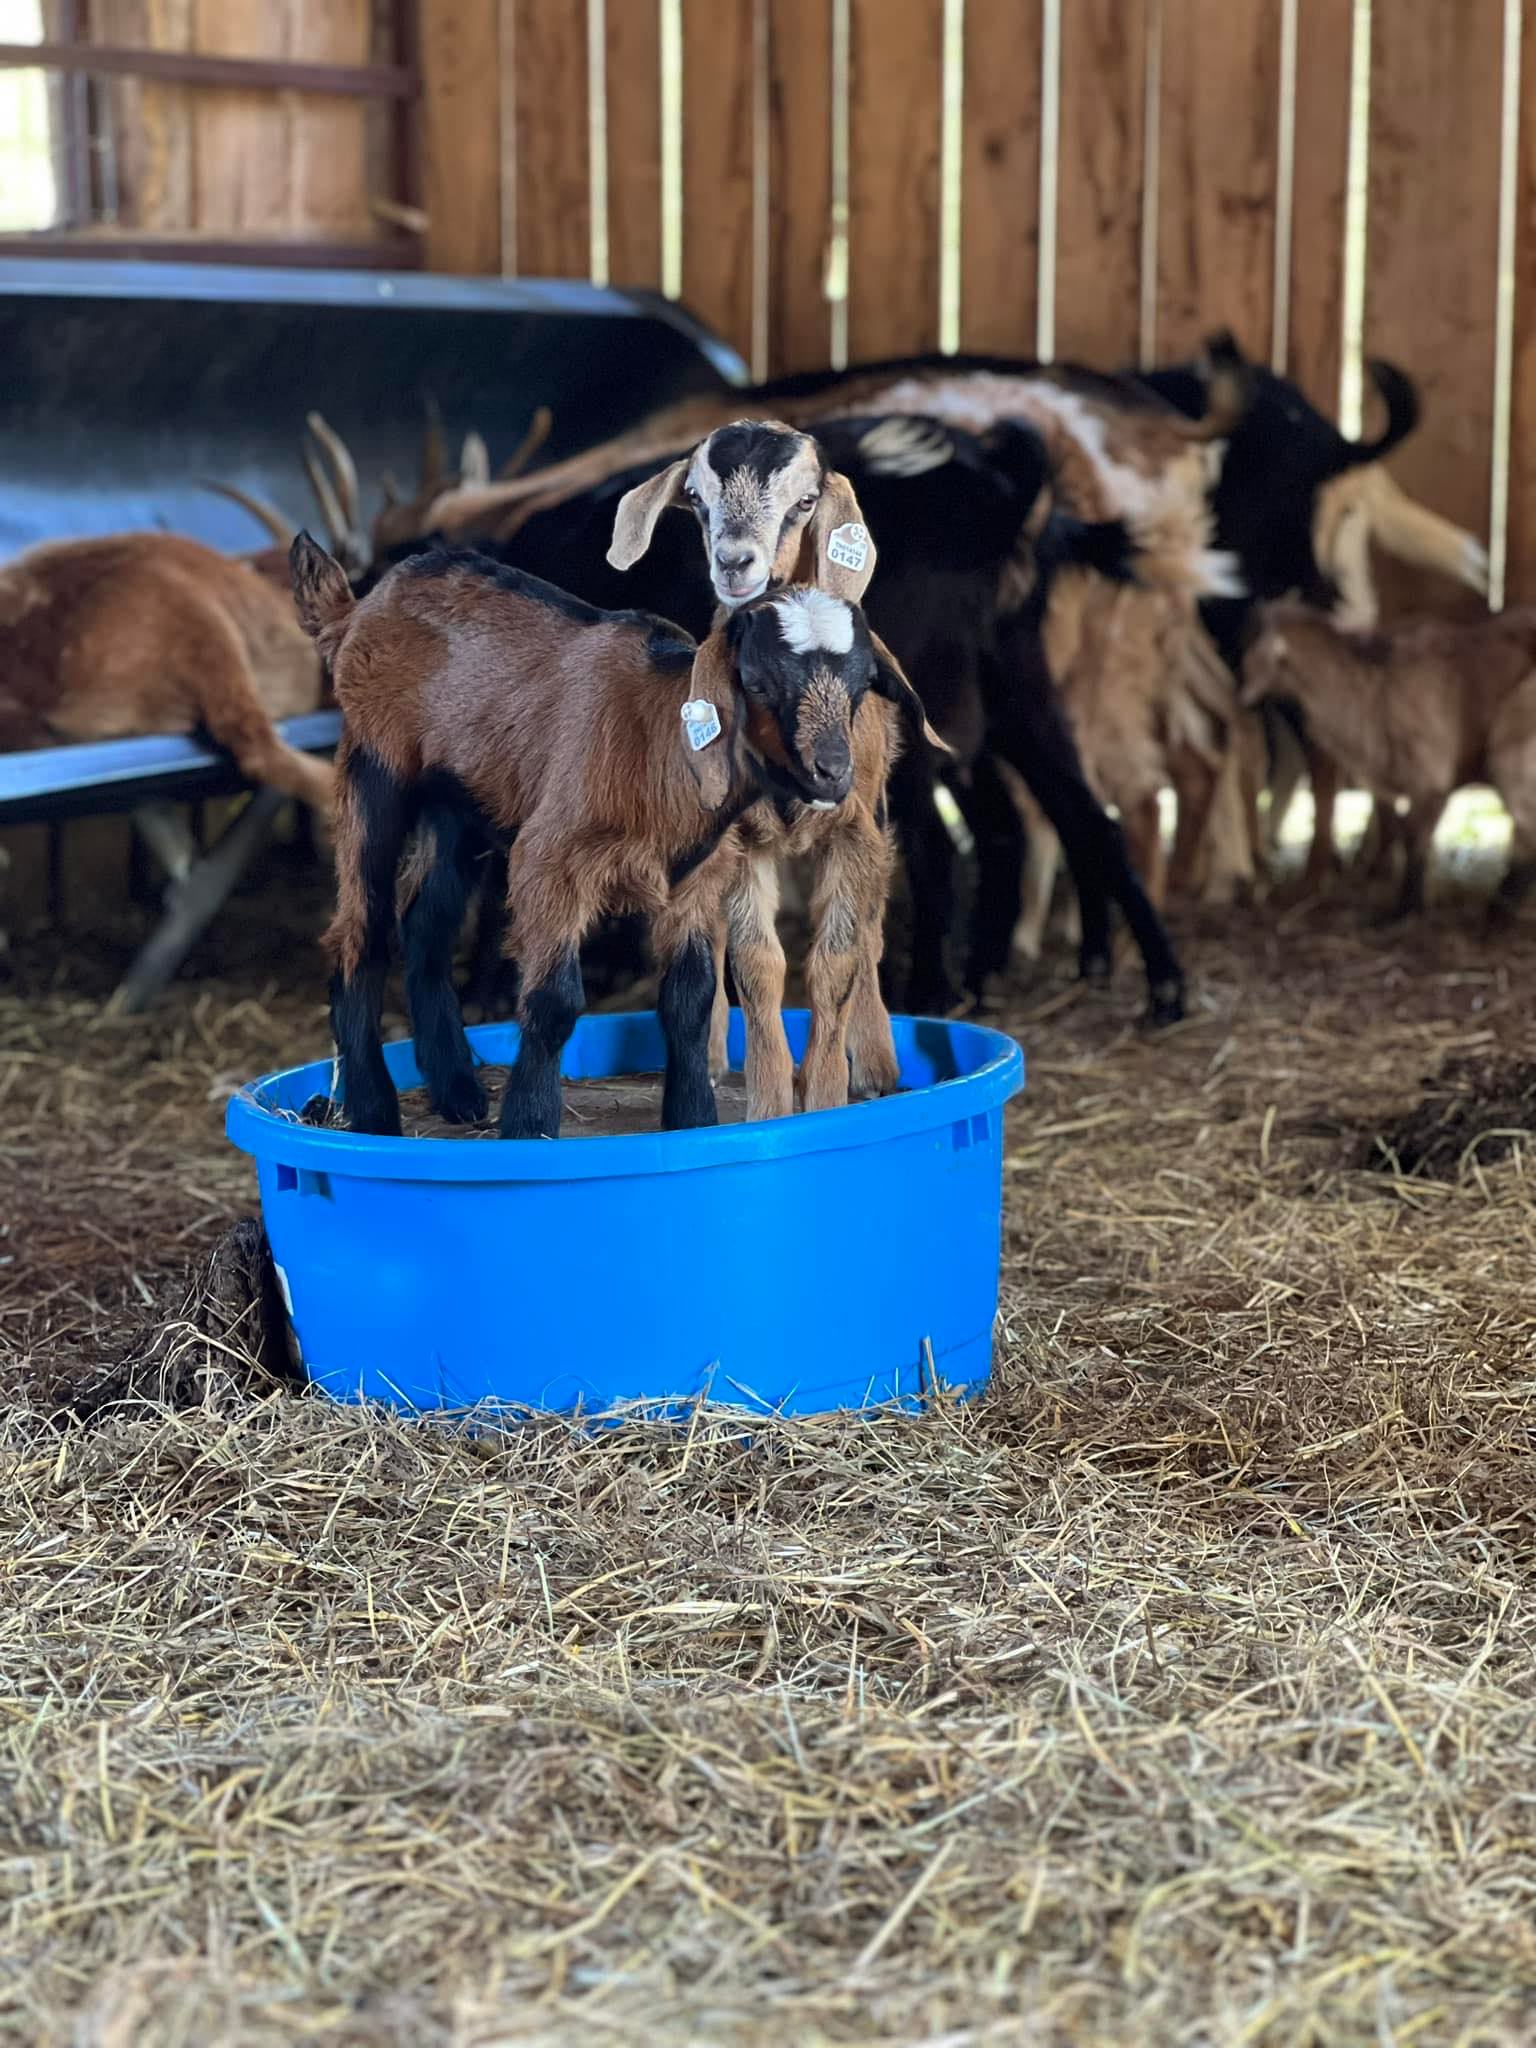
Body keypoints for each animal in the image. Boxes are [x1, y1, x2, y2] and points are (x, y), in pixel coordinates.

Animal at [292, 533, 929, 1139]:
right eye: (758, 682)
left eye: (860, 686)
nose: (833, 771)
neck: (659, 744)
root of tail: (356, 609)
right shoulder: (548, 862)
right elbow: (554, 1003)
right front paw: (529, 1126)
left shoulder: (699, 875)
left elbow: (691, 1000)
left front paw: (691, 1119)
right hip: (374, 771)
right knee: (361, 935)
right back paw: (374, 1110)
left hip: (456, 805)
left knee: (425, 926)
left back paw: (458, 1093)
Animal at [1240, 602, 1536, 920]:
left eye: (1252, 657)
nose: (1242, 700)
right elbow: (1400, 830)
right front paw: (1416, 903)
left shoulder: (1429, 774)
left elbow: (1413, 838)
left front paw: (1403, 910)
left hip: (1512, 744)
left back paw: (1499, 914)